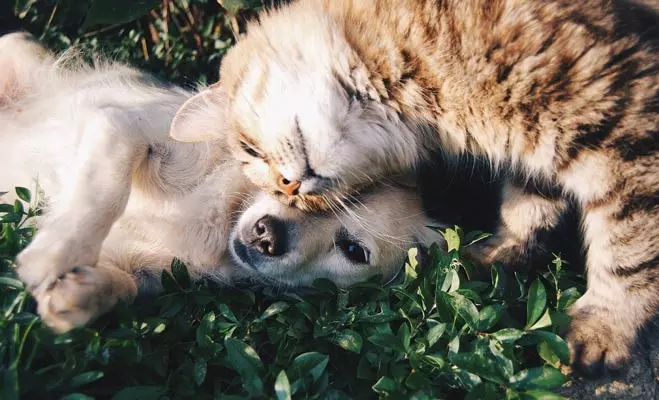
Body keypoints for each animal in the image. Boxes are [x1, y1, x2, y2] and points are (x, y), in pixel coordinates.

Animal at [170, 0, 659, 378]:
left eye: (251, 150)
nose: (290, 187)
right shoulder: (539, 150)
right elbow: (528, 206)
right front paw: (500, 253)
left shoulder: (624, 129)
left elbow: (628, 252)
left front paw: (604, 326)